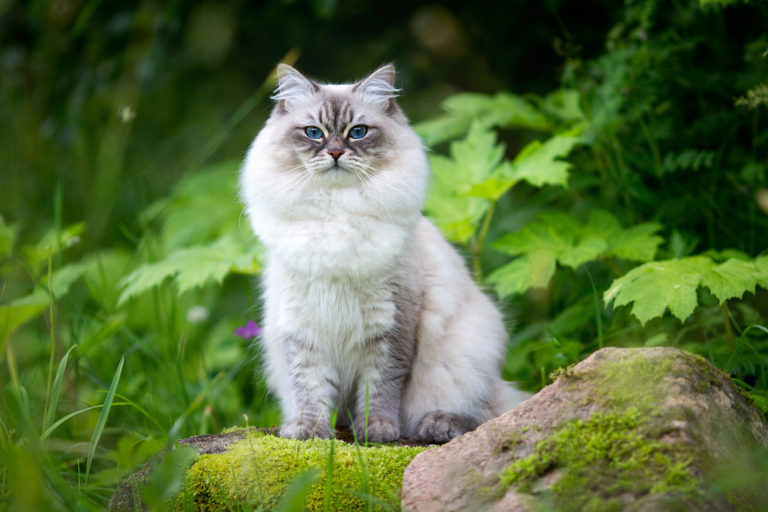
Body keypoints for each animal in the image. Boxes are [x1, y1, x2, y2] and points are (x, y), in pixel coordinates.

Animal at [238, 62, 528, 442]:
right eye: (314, 133)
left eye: (357, 132)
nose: (335, 153)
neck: (336, 214)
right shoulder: (302, 326)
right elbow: (309, 387)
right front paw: (308, 431)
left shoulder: (391, 323)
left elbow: (380, 386)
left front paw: (377, 430)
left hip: (466, 352)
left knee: (484, 412)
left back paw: (438, 424)